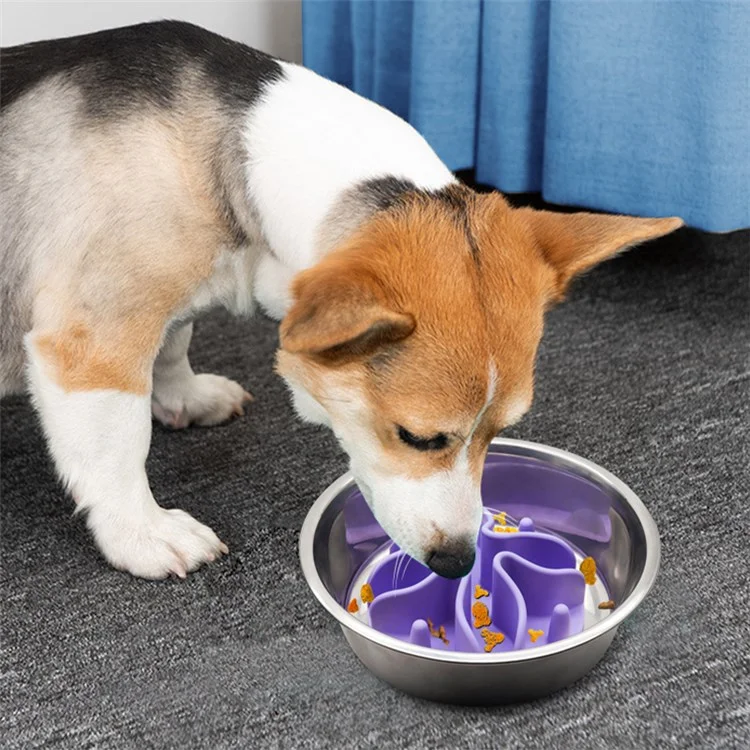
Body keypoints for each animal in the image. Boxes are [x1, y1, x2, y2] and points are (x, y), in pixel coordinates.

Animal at [0, 19, 680, 580]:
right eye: (418, 439)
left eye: (502, 433)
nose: (458, 563)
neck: (247, 151)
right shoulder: (94, 341)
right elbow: (118, 445)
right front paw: (141, 534)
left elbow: (174, 341)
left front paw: (184, 397)